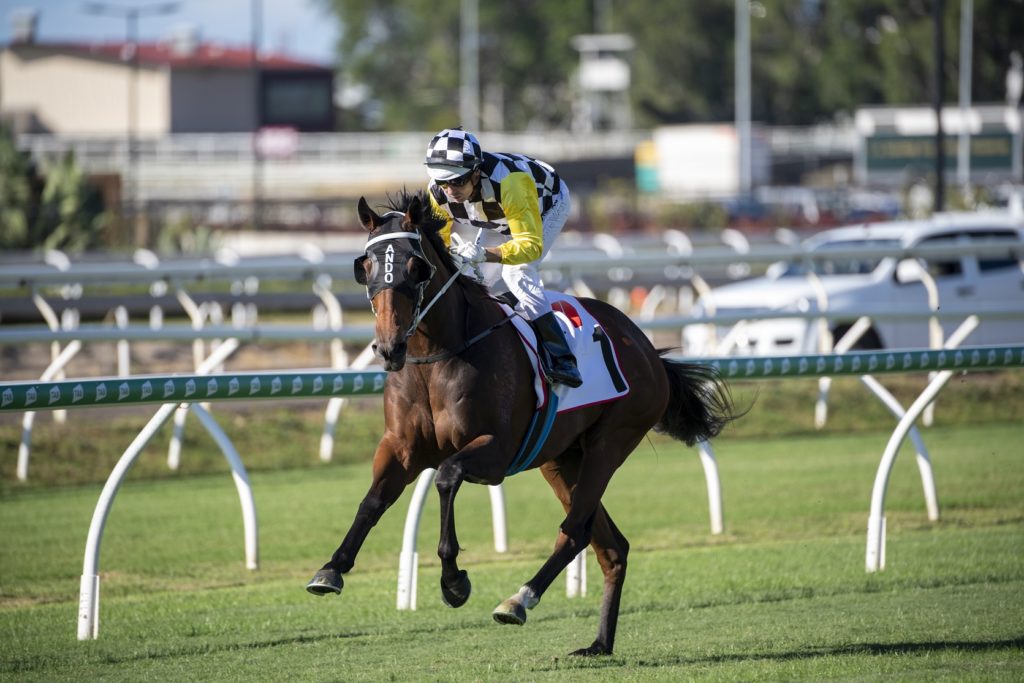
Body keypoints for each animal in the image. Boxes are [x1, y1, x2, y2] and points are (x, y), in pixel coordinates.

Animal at [306, 190, 736, 656]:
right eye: (365, 266)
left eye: (415, 267)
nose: (389, 348)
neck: (437, 357)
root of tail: (646, 347)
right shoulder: (399, 447)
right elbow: (372, 501)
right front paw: (332, 568)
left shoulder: (496, 452)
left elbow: (446, 476)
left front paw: (454, 581)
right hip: (561, 459)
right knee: (611, 545)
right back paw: (598, 644)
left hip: (611, 442)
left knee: (576, 530)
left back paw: (519, 600)